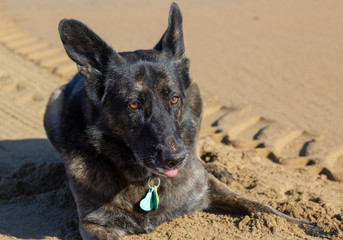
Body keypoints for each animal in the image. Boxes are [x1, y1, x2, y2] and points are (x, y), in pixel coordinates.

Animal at [44, 2, 326, 239]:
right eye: (134, 104)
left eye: (174, 99)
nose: (176, 159)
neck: (145, 179)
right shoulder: (94, 225)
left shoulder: (205, 187)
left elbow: (259, 205)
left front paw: (303, 225)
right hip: (53, 103)